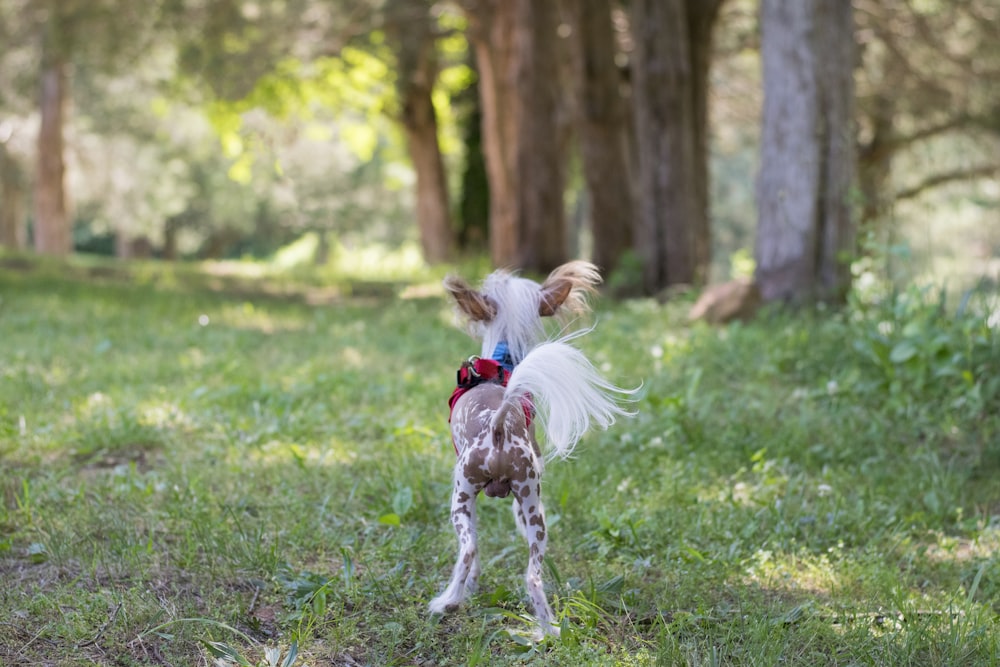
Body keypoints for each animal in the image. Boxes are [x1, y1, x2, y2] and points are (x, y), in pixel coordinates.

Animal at [428, 260, 632, 636]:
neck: (502, 361)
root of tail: (497, 427)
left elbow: (474, 557)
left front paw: (470, 587)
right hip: (534, 509)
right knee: (532, 576)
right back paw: (548, 628)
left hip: (464, 499)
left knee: (470, 550)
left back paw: (448, 602)